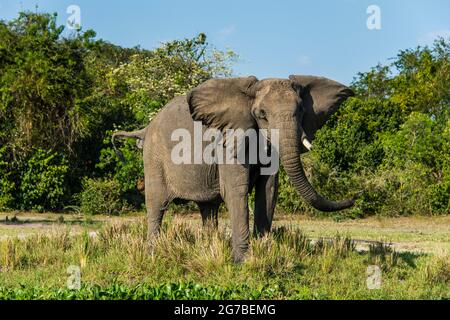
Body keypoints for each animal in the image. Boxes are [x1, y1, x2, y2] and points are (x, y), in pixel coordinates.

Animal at [112, 75, 356, 262]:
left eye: (302, 111)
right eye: (261, 115)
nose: (355, 196)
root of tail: (145, 129)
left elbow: (268, 190)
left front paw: (263, 251)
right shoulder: (227, 142)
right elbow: (235, 190)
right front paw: (242, 261)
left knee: (208, 208)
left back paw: (208, 248)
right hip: (153, 158)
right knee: (157, 205)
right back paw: (153, 254)